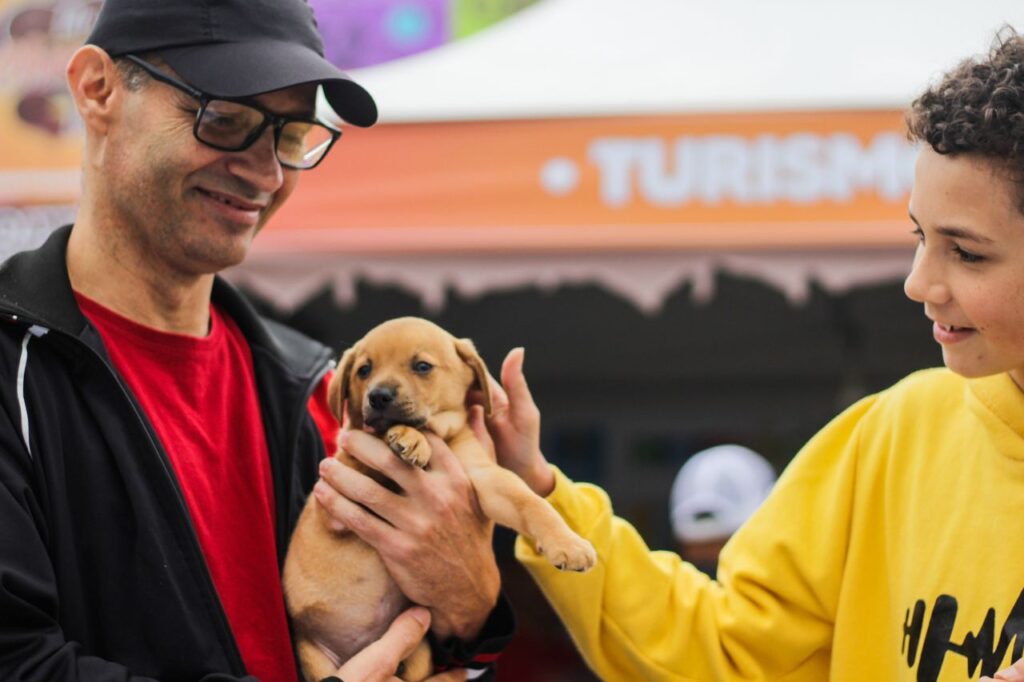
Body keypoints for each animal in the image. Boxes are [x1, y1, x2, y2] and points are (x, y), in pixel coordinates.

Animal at [284, 319, 598, 679]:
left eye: (422, 366)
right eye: (364, 369)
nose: (378, 396)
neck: (441, 436)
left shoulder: (484, 477)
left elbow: (531, 502)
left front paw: (569, 543)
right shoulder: (344, 479)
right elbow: (381, 436)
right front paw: (411, 437)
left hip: (419, 650)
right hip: (315, 659)